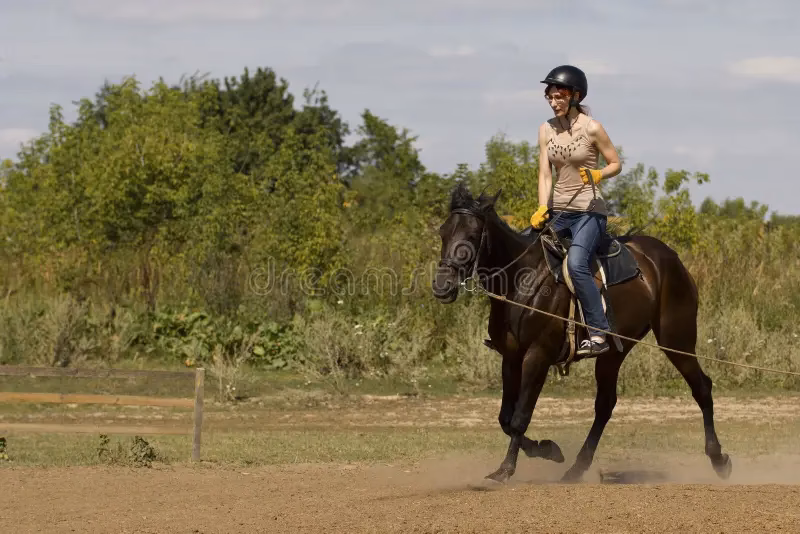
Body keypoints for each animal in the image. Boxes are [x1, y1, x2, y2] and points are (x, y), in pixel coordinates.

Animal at [431, 183, 732, 483]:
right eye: (443, 232)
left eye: (472, 235)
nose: (442, 285)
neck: (522, 278)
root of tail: (670, 258)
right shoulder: (511, 357)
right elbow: (505, 418)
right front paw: (547, 449)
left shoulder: (537, 357)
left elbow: (519, 417)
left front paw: (506, 468)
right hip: (614, 352)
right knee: (605, 405)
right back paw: (576, 468)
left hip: (676, 340)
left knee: (702, 387)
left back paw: (719, 459)